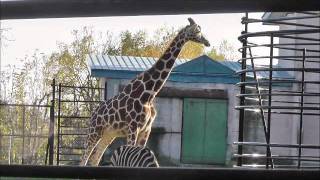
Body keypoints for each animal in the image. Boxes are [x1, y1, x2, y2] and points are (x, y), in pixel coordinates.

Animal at [80, 17, 210, 165]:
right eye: (197, 31)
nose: (207, 42)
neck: (148, 93)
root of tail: (93, 113)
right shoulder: (133, 128)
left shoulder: (146, 129)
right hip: (95, 131)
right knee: (84, 158)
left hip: (109, 134)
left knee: (95, 158)